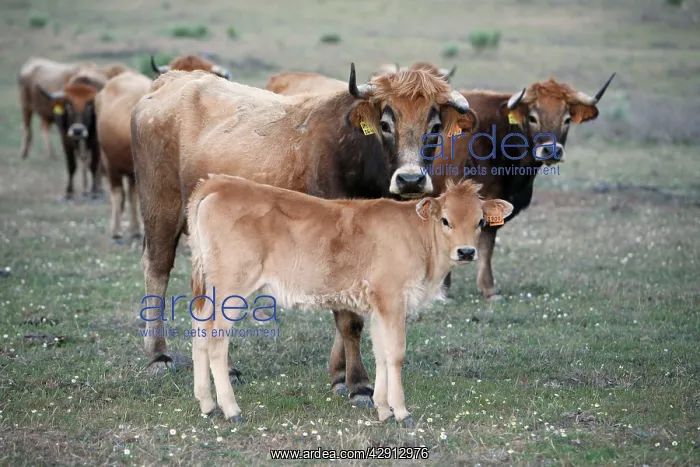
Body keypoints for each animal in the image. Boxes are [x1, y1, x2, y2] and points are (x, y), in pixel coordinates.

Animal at [131, 64, 477, 408]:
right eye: (385, 123)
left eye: (434, 126)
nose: (410, 179)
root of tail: (170, 81)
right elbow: (349, 320)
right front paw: (358, 383)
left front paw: (339, 374)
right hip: (161, 209)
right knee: (158, 269)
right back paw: (158, 356)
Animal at [186, 174, 514, 424]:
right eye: (445, 220)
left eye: (480, 222)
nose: (466, 252)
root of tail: (221, 182)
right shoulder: (392, 298)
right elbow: (396, 354)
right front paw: (402, 413)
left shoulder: (379, 305)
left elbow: (381, 353)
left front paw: (383, 410)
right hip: (232, 287)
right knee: (216, 340)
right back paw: (231, 409)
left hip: (209, 290)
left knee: (200, 331)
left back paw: (208, 405)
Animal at [431, 74, 616, 301]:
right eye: (533, 118)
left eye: (567, 119)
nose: (551, 151)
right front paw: (444, 291)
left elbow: (487, 246)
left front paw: (489, 290)